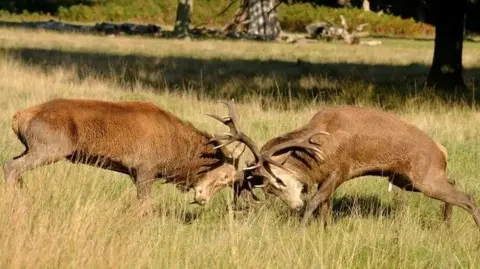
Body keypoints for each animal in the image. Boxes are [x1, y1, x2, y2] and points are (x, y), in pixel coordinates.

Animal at [2, 97, 244, 204]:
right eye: (226, 177)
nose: (203, 200)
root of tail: (18, 118)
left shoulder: (135, 173)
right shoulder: (146, 169)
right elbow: (145, 205)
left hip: (32, 148)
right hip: (50, 148)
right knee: (10, 166)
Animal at [212, 100, 480, 228]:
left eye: (278, 180)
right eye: (267, 189)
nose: (295, 207)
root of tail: (442, 150)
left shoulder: (341, 170)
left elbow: (316, 202)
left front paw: (299, 229)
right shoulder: (325, 177)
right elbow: (325, 208)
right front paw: (325, 230)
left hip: (424, 177)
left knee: (467, 197)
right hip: (407, 180)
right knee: (454, 183)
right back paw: (446, 225)